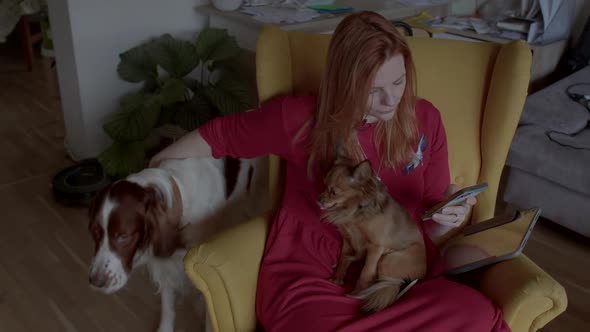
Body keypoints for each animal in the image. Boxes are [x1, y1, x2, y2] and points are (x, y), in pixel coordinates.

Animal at [88, 157, 264, 332]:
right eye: (94, 232)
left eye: (123, 236)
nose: (96, 282)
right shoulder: (166, 265)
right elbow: (167, 305)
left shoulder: (201, 269)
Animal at [320, 158, 430, 312]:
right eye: (324, 186)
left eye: (334, 192)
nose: (319, 200)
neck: (354, 213)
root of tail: (423, 273)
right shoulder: (348, 239)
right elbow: (343, 259)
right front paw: (337, 278)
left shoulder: (375, 248)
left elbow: (365, 273)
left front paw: (356, 293)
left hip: (387, 260)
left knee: (386, 283)